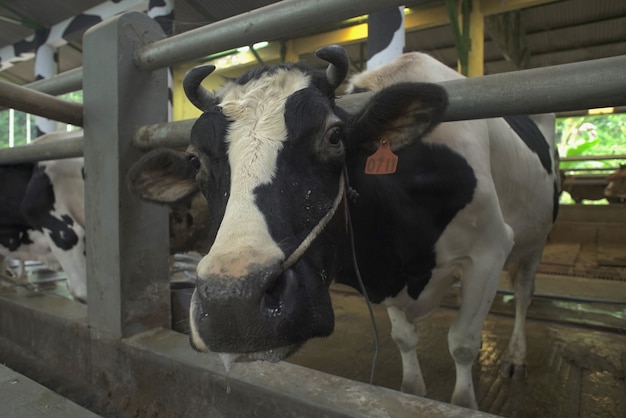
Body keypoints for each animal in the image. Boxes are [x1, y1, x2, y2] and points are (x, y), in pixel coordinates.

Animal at [127, 45, 556, 408]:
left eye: (334, 137)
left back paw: (515, 357)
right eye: (194, 160)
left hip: (535, 239)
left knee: (524, 291)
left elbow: (463, 343)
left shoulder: (490, 249)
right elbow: (404, 341)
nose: (233, 302)